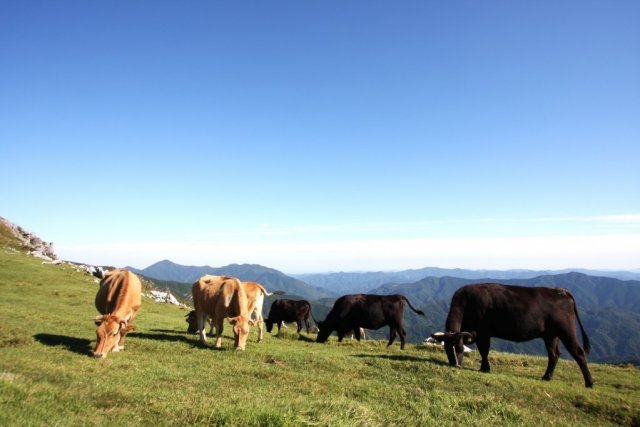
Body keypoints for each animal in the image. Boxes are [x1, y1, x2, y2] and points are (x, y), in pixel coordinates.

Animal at [432, 284, 592, 388]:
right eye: (447, 350)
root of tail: (561, 291)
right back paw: (546, 377)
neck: (466, 302)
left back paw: (589, 383)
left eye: (460, 348)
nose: (455, 366)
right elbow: (484, 351)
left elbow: (484, 351)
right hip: (551, 335)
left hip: (566, 331)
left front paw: (484, 369)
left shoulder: (483, 332)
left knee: (578, 353)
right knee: (554, 354)